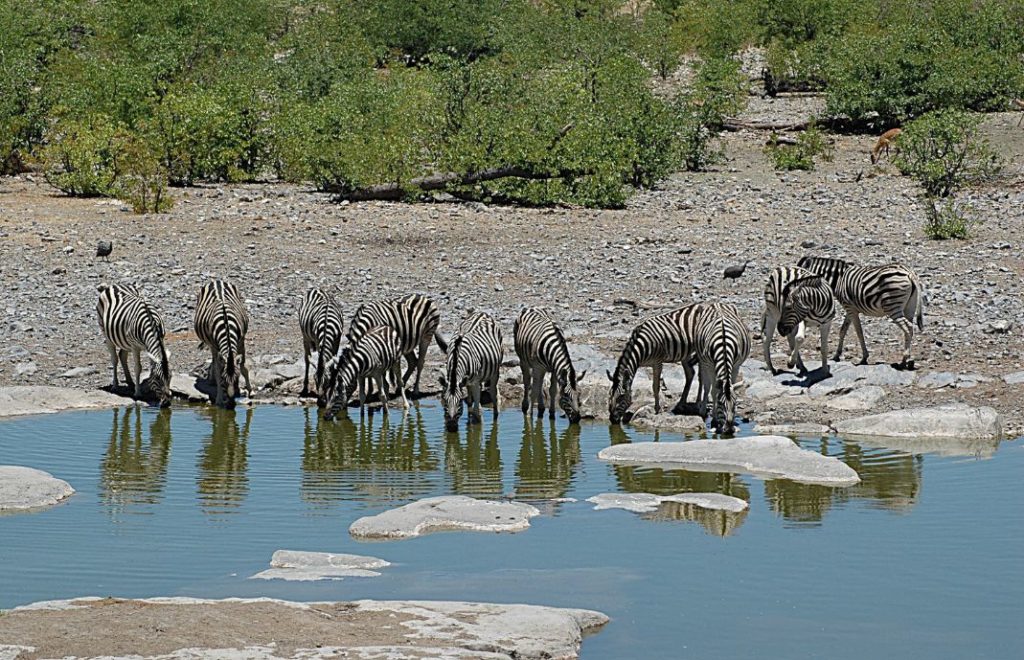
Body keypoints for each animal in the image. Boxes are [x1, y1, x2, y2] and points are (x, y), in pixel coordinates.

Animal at [194, 276, 252, 407]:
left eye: (237, 379)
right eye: (224, 380)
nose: (231, 404)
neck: (226, 324)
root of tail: (217, 281)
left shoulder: (241, 340)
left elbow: (243, 367)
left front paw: (250, 391)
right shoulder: (214, 346)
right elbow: (217, 370)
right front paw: (219, 399)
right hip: (211, 344)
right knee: (215, 362)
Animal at [692, 300, 749, 435]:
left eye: (735, 404)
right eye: (721, 404)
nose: (728, 430)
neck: (723, 344)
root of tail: (716, 302)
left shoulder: (736, 365)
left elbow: (732, 385)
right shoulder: (710, 365)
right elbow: (713, 391)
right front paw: (714, 421)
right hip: (703, 362)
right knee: (706, 385)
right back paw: (703, 410)